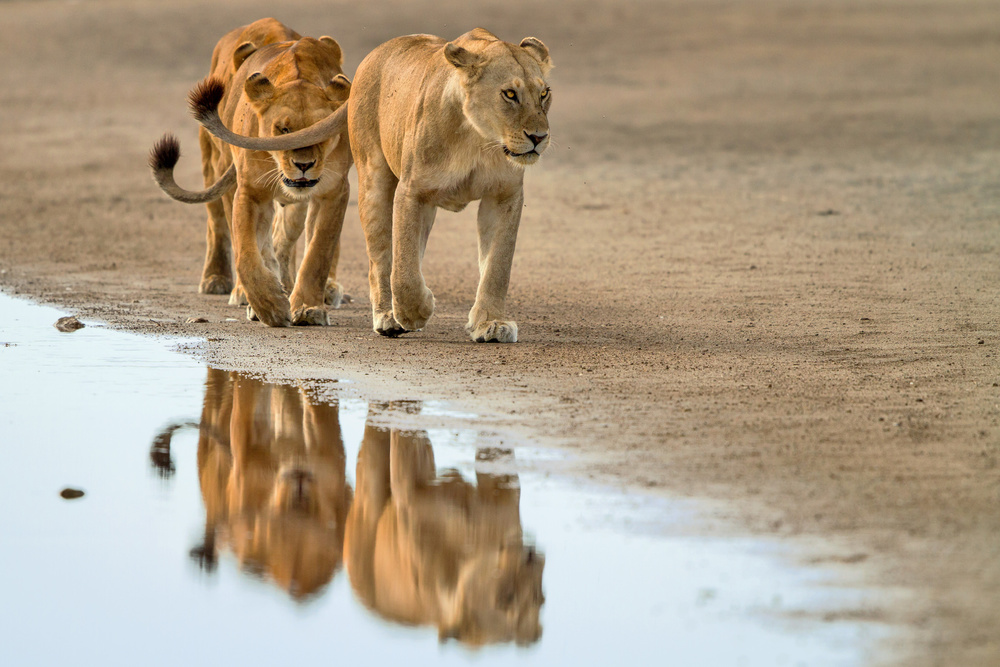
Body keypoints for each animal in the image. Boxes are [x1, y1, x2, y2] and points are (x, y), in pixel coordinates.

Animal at [150, 18, 352, 326]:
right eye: (283, 129)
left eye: (322, 131)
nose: (304, 165)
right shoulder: (251, 192)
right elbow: (246, 252)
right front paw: (269, 305)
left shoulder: (333, 191)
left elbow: (319, 251)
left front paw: (307, 307)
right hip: (214, 164)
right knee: (219, 226)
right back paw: (220, 281)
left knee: (285, 237)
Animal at [192, 28, 552, 341]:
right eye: (509, 94)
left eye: (544, 94)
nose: (539, 137)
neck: (479, 139)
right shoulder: (412, 191)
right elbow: (403, 265)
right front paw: (414, 311)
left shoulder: (504, 196)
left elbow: (497, 266)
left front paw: (491, 323)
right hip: (374, 181)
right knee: (381, 254)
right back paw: (388, 316)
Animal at [344, 408, 545, 645]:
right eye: (506, 598)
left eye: (538, 599)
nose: (530, 558)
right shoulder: (410, 489)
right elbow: (406, 428)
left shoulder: (500, 495)